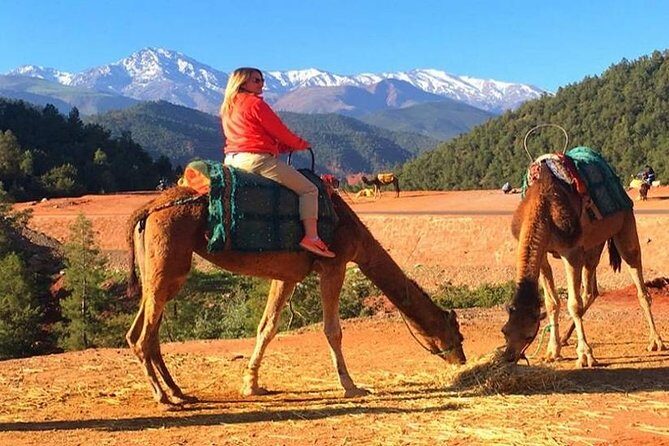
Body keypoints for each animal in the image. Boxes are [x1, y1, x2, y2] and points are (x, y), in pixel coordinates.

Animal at [125, 186, 465, 405]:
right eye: (456, 332)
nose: (461, 359)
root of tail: (146, 210)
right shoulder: (334, 264)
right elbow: (332, 330)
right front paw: (351, 386)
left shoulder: (286, 275)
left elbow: (267, 327)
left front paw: (252, 385)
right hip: (169, 261)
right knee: (144, 335)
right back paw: (163, 397)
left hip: (159, 270)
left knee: (142, 332)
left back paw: (179, 392)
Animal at [501, 162, 665, 368]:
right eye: (504, 331)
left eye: (530, 336)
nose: (509, 356)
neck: (543, 208)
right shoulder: (545, 254)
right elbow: (552, 303)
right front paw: (552, 351)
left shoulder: (571, 252)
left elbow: (574, 304)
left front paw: (585, 355)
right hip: (593, 245)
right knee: (591, 290)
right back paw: (564, 339)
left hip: (625, 223)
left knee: (638, 282)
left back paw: (656, 341)